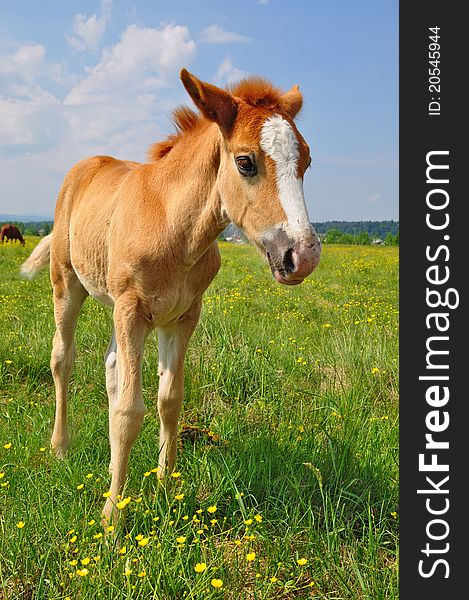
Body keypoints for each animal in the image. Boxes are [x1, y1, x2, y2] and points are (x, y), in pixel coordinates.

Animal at [20, 68, 320, 524]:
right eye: (246, 162)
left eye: (305, 161)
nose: (302, 256)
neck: (173, 225)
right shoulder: (133, 310)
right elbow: (130, 411)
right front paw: (112, 517)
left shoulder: (181, 317)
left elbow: (169, 400)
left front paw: (165, 486)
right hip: (68, 284)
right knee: (62, 359)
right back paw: (60, 447)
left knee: (111, 367)